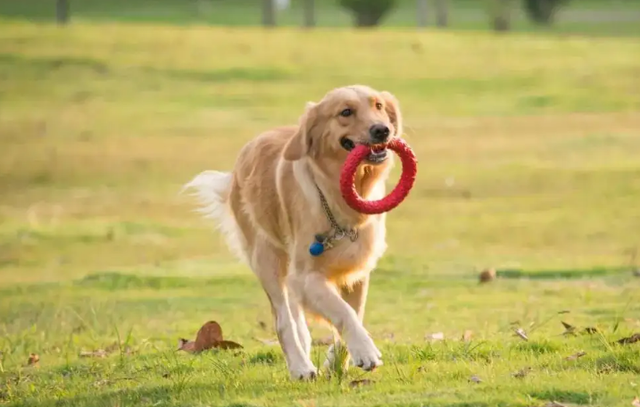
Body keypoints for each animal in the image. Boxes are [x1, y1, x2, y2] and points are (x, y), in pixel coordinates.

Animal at [185, 84, 402, 380]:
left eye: (378, 106)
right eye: (346, 112)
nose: (382, 130)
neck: (337, 197)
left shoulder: (356, 272)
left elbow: (354, 313)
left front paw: (337, 362)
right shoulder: (306, 276)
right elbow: (343, 312)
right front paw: (366, 351)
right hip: (266, 259)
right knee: (283, 320)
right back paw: (300, 366)